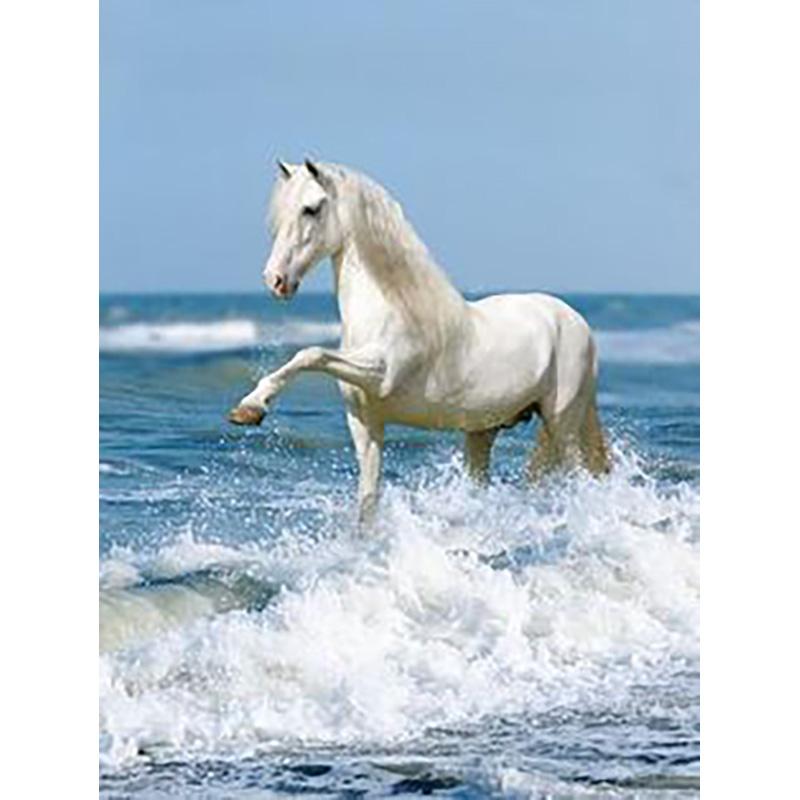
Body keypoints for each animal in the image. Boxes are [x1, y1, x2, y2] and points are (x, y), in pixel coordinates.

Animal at [229, 160, 610, 523]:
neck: (388, 308)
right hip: (483, 431)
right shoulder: (365, 423)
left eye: (310, 209)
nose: (276, 280)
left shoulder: (380, 374)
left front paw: (251, 407)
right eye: (279, 213)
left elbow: (312, 354)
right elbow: (368, 501)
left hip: (562, 424)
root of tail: (576, 321)